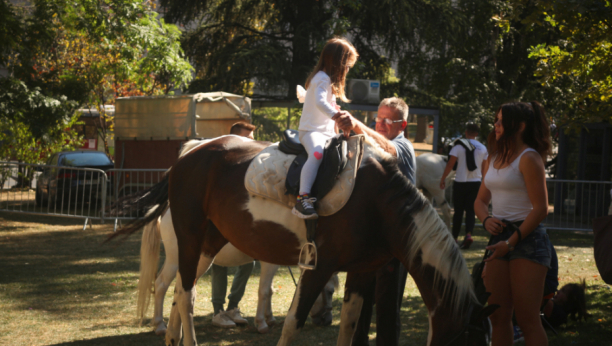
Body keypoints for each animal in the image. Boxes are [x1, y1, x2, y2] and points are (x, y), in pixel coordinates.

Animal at [137, 205, 340, 336]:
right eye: (330, 292)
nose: (328, 321)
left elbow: (270, 291)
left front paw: (270, 317)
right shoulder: (269, 264)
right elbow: (263, 291)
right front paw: (261, 323)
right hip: (175, 261)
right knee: (161, 285)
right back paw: (160, 326)